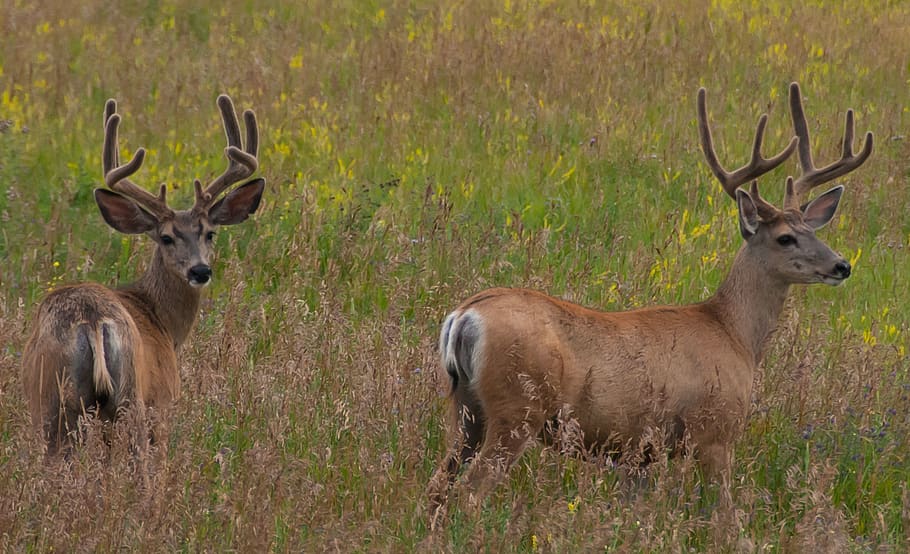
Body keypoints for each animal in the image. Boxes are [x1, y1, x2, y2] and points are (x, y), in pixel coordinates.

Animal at [21, 95, 266, 454]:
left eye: (210, 233)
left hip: (52, 402)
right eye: (166, 237)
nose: (200, 270)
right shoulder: (163, 396)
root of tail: (92, 318)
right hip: (131, 397)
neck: (163, 322)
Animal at [432, 82, 872, 516]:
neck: (735, 334)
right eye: (785, 238)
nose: (842, 265)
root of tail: (465, 315)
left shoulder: (639, 451)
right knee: (472, 491)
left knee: (439, 483)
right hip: (517, 408)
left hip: (467, 410)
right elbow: (723, 513)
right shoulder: (715, 431)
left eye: (814, 230)